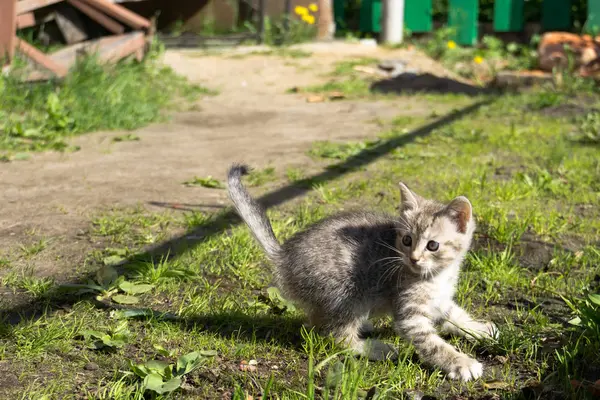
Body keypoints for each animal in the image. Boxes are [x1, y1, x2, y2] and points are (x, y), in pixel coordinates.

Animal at [226, 163, 496, 382]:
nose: (413, 258)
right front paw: (460, 362)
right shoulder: (409, 315)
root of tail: (284, 255)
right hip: (346, 292)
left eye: (432, 245)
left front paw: (479, 328)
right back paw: (375, 348)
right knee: (335, 337)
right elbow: (433, 343)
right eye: (407, 240)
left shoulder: (439, 300)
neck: (438, 275)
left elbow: (454, 315)